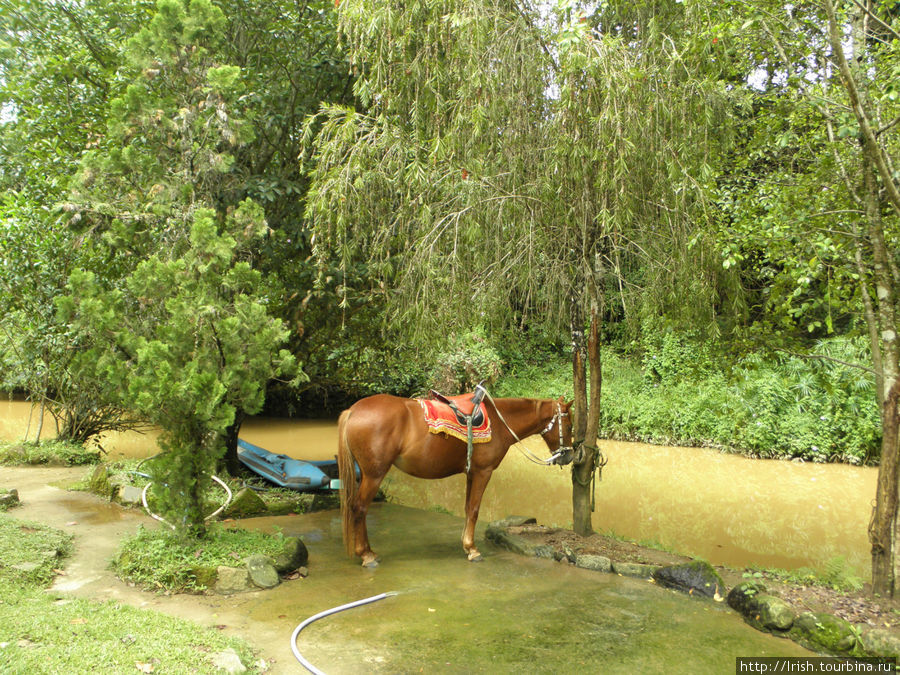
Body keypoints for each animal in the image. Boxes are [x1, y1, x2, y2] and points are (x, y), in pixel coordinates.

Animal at [338, 394, 568, 568]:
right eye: (568, 422)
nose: (568, 455)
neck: (500, 423)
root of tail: (353, 411)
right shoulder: (483, 472)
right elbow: (474, 510)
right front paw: (473, 550)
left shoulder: (471, 473)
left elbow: (467, 508)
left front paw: (466, 545)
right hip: (374, 475)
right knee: (359, 508)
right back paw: (366, 555)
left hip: (365, 475)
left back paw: (370, 551)